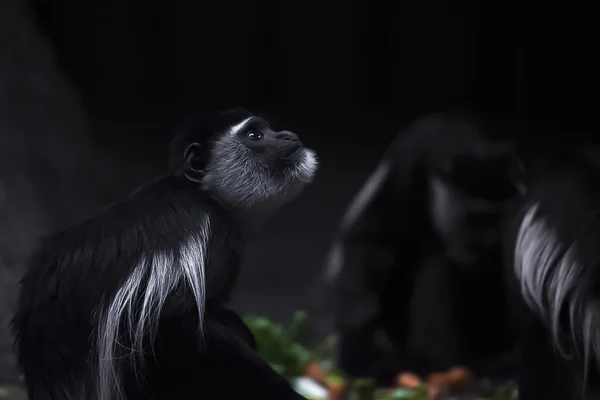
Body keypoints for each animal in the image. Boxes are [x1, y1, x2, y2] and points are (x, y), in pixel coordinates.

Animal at [10, 108, 318, 398]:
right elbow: (175, 324)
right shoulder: (210, 231)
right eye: (255, 135)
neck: (203, 193)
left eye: (269, 130)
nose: (287, 135)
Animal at [324, 112, 524, 384]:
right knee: (438, 264)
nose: (489, 244)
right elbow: (373, 235)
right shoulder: (407, 167)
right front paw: (362, 325)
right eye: (476, 218)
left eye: (502, 220)